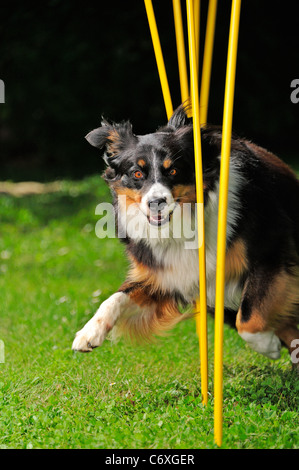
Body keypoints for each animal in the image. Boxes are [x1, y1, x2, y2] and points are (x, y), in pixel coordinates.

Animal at [72, 104, 299, 370]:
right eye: (137, 173)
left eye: (173, 170)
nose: (156, 202)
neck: (181, 224)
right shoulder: (166, 276)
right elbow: (116, 297)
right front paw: (88, 333)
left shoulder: (271, 251)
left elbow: (249, 315)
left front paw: (267, 345)